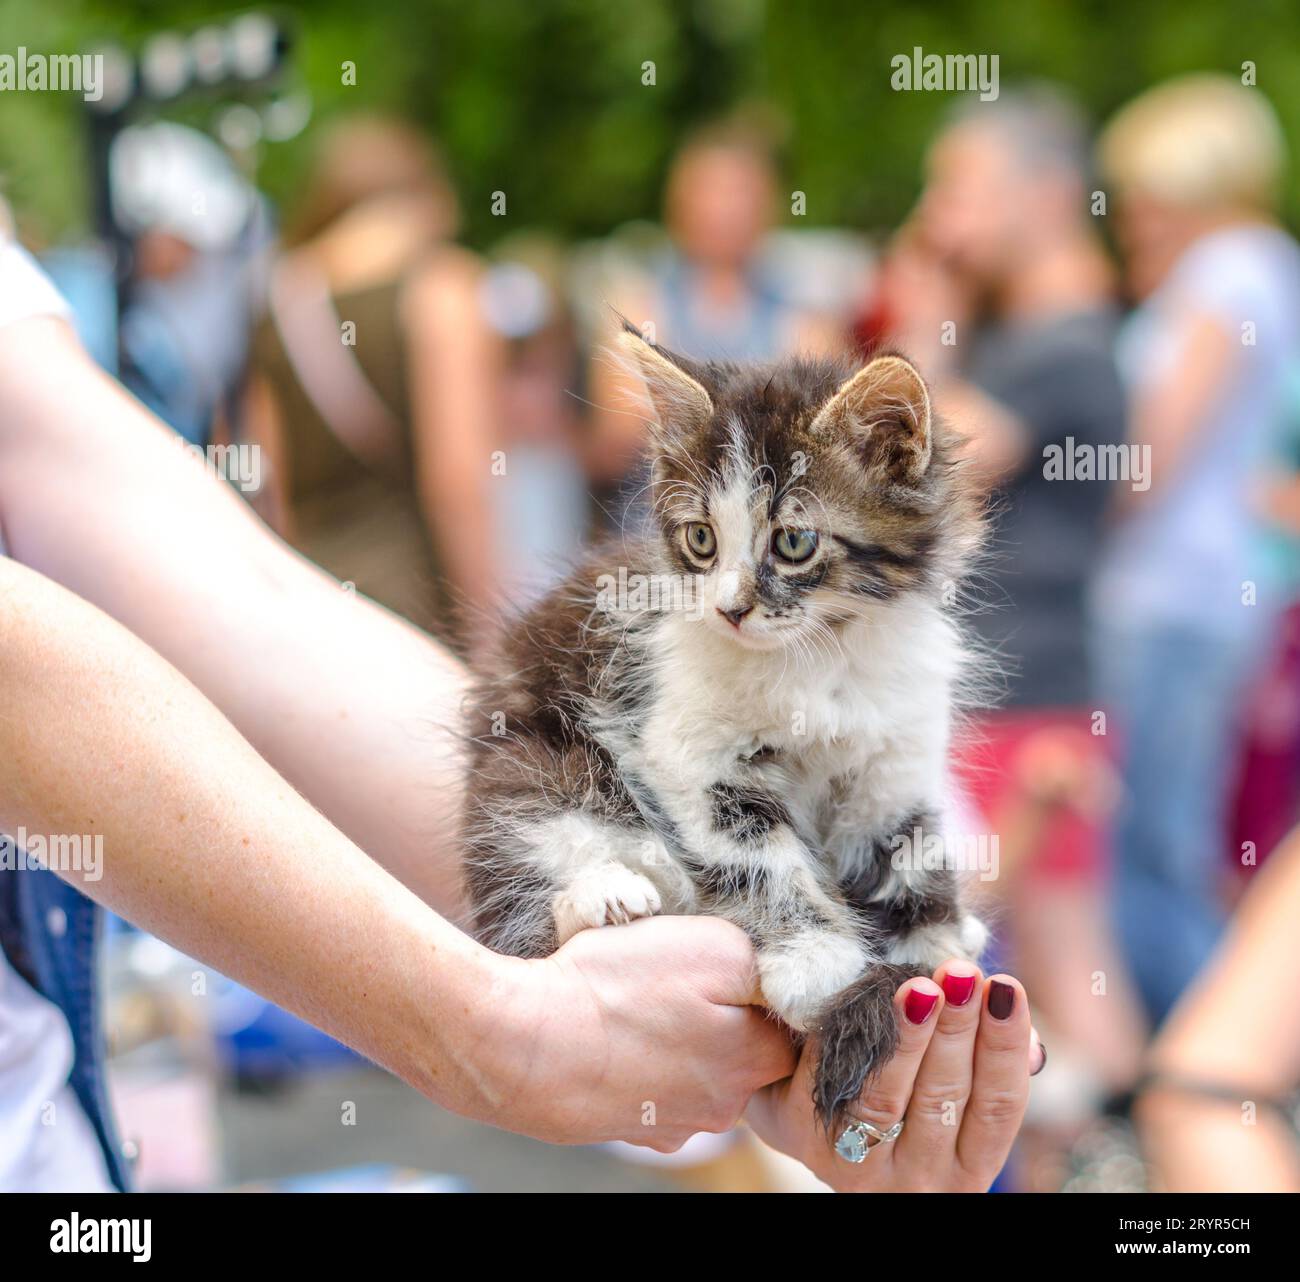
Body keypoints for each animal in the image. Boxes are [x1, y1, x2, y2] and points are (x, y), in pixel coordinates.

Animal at [465, 327, 982, 1128]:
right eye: (702, 540)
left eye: (793, 542)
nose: (729, 609)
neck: (819, 659)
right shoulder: (689, 753)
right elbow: (762, 857)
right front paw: (816, 964)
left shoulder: (893, 767)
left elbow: (913, 859)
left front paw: (939, 950)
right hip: (527, 766)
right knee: (525, 901)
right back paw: (601, 898)